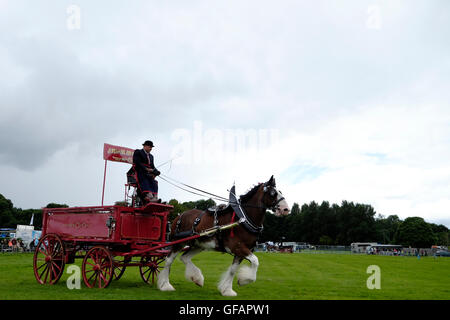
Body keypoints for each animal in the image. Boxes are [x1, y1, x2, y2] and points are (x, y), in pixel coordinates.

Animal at [157, 176, 292, 296]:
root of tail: (180, 215)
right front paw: (244, 281)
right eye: (273, 193)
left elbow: (233, 270)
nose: (286, 209)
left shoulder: (241, 251)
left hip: (199, 245)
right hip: (178, 242)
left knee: (184, 258)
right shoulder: (238, 247)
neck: (242, 218)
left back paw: (197, 278)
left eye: (280, 191)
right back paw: (165, 285)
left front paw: (227, 290)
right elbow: (255, 261)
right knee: (169, 260)